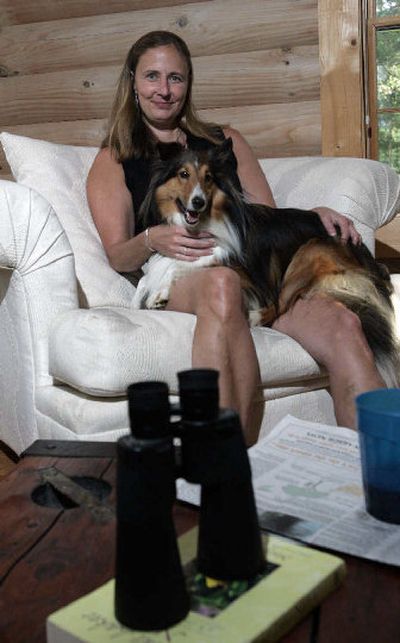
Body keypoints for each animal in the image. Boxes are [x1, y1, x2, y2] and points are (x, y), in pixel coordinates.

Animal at [134, 138, 400, 384]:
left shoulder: (239, 266)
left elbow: (183, 265)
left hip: (307, 253)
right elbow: (151, 274)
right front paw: (140, 298)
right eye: (184, 174)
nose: (198, 202)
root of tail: (371, 260)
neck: (201, 225)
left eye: (208, 177)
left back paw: (253, 317)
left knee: (276, 304)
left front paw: (159, 293)